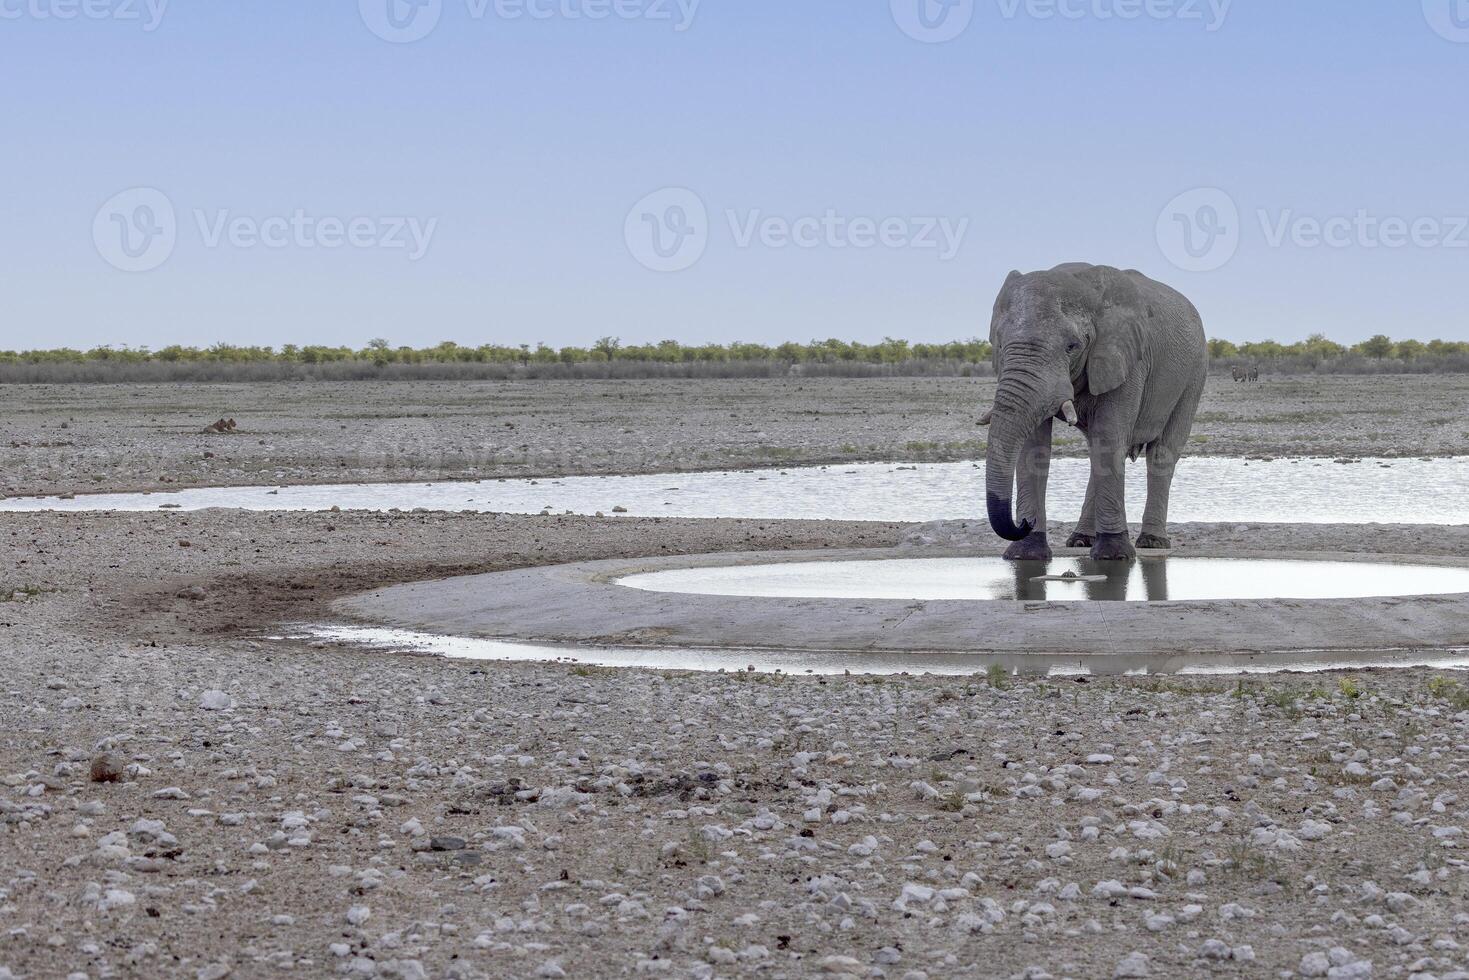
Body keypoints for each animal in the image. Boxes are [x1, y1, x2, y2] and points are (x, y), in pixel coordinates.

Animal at [981, 264, 1210, 564]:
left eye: (1072, 346)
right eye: (999, 345)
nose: (1024, 523)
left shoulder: (1129, 359)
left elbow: (1110, 436)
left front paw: (1114, 556)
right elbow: (1034, 447)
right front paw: (1025, 555)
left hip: (1195, 373)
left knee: (1161, 452)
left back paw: (1152, 542)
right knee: (1096, 453)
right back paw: (1080, 540)